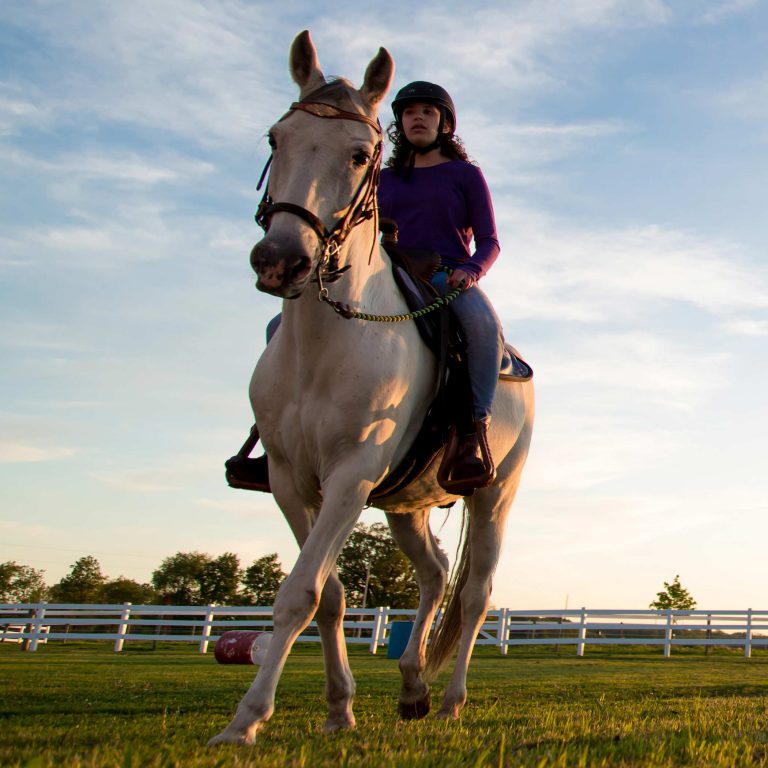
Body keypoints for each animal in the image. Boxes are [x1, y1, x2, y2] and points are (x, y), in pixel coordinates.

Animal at [210, 30, 536, 744]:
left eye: (360, 155)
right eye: (277, 138)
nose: (280, 259)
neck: (326, 344)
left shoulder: (352, 472)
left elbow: (299, 594)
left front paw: (245, 722)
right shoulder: (291, 479)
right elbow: (328, 595)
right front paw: (339, 710)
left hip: (493, 494)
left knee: (476, 594)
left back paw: (450, 700)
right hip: (405, 504)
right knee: (434, 574)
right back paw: (413, 687)